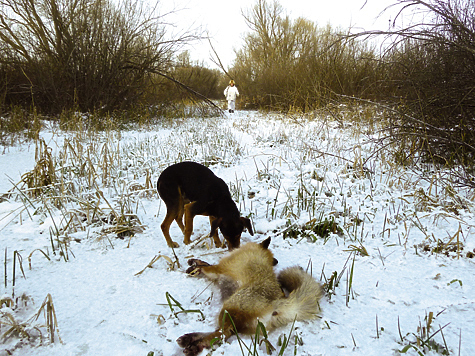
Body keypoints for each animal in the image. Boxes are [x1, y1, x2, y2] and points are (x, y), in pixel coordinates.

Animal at [177, 236, 326, 356]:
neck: (258, 252)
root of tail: (278, 303)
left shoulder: (218, 269)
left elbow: (206, 267)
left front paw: (195, 267)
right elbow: (205, 264)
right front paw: (195, 263)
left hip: (228, 308)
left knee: (223, 333)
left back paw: (196, 345)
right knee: (225, 332)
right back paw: (189, 339)